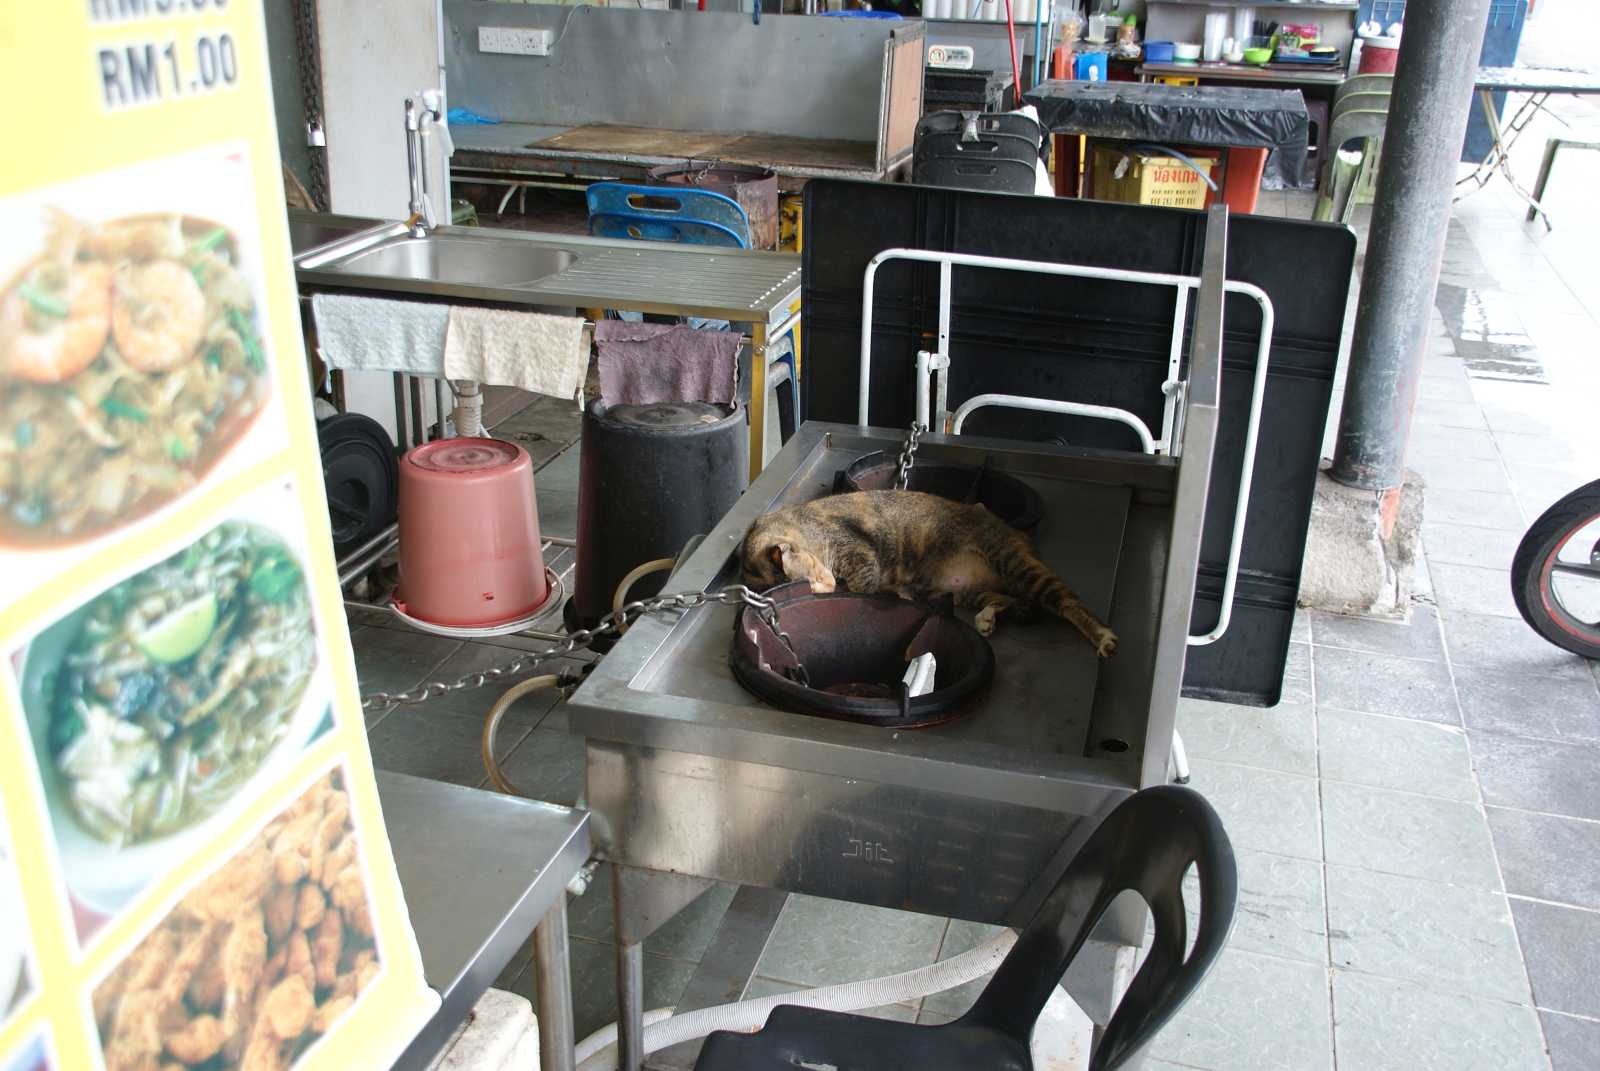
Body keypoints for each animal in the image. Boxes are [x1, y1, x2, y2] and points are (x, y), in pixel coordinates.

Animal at [741, 489, 1118, 657]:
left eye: (813, 580)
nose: (831, 586)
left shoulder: (860, 554)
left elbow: (866, 586)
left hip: (1016, 563)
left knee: (1068, 603)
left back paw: (1102, 636)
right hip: (966, 591)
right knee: (1009, 600)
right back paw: (987, 617)